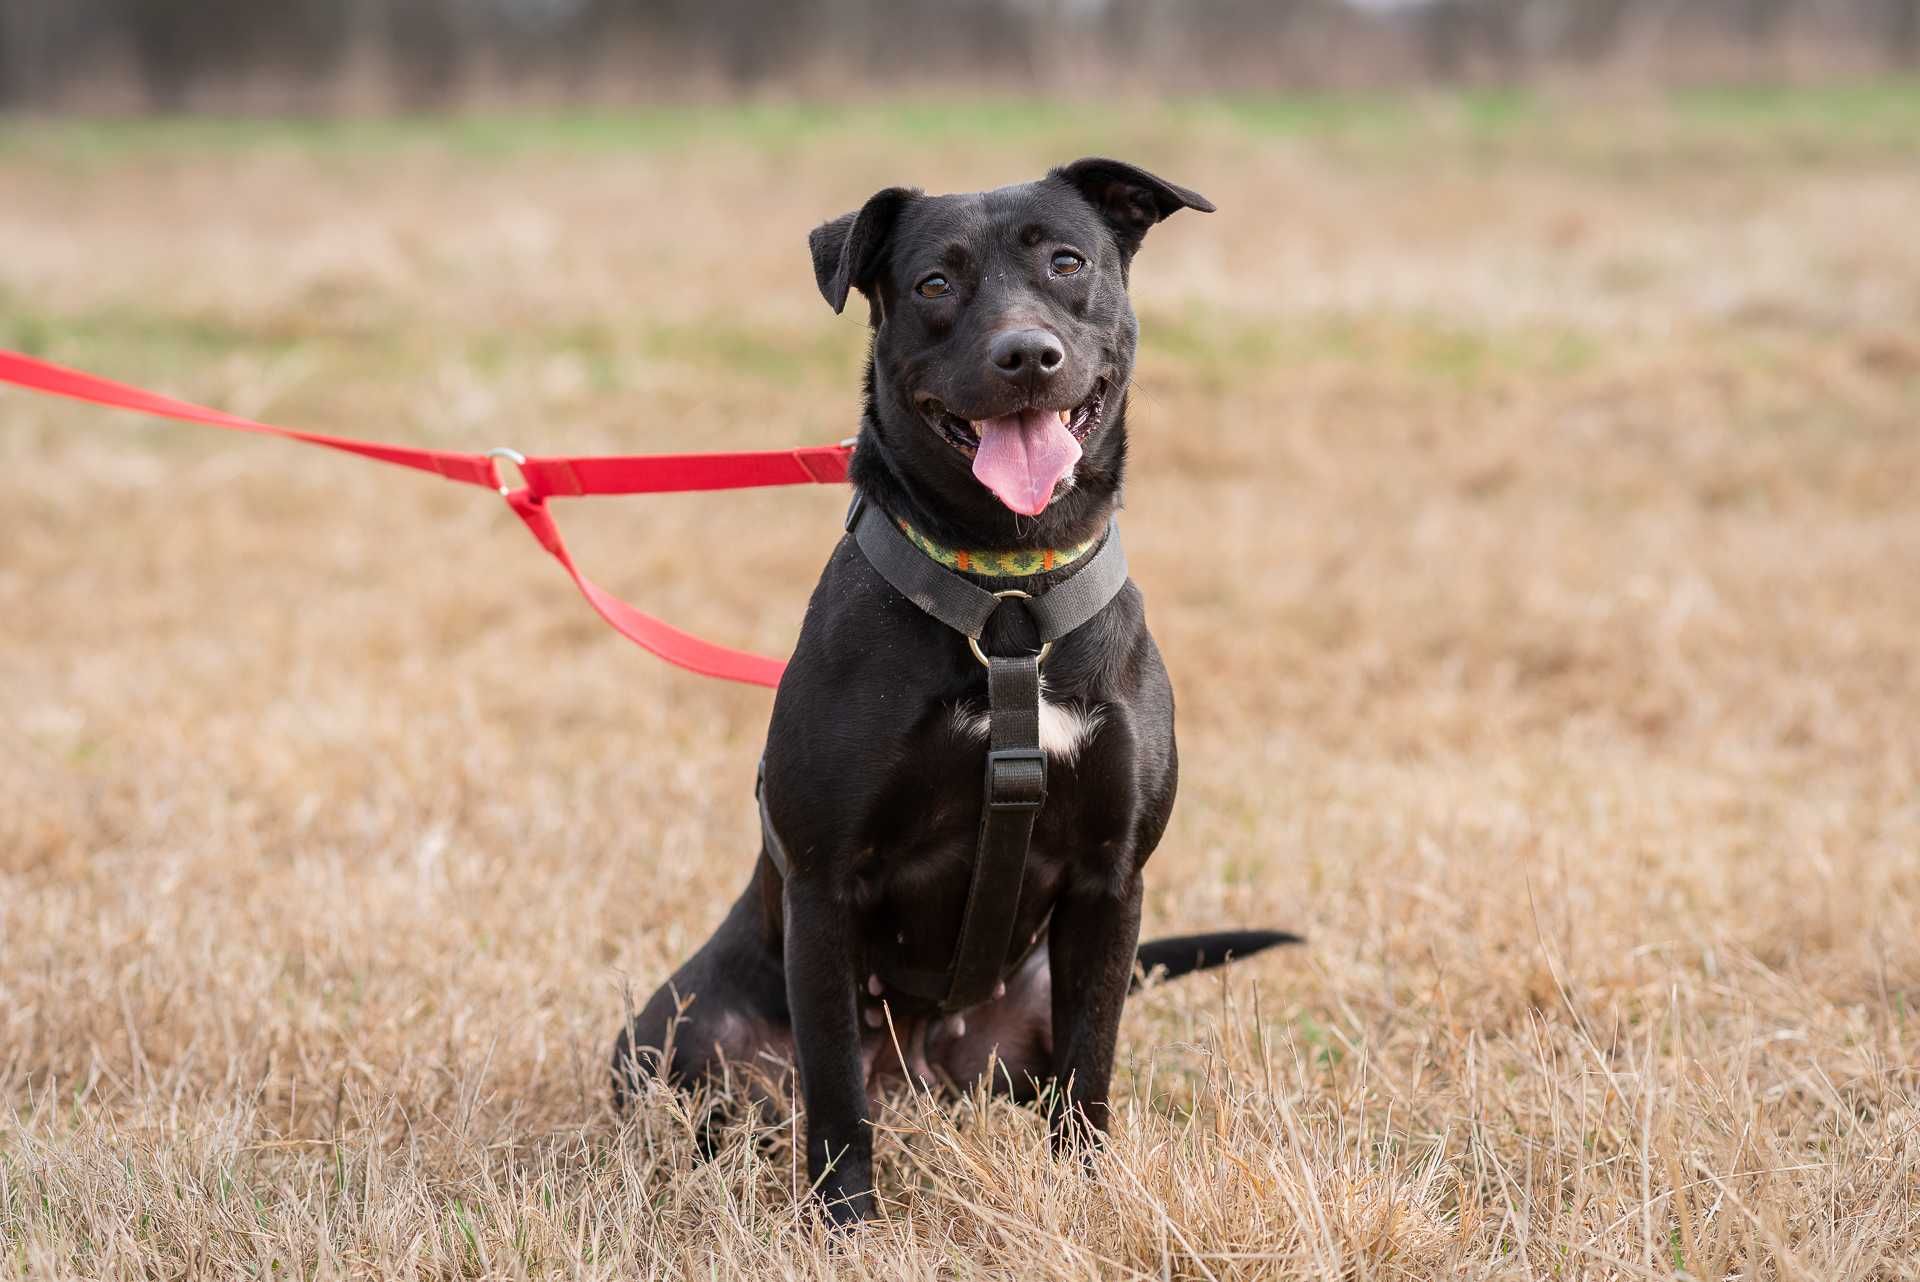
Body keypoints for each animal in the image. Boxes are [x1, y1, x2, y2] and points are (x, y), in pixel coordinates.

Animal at [614, 160, 1297, 1220]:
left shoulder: (1111, 883)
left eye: (1068, 263)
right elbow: (835, 1096)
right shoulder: (824, 888)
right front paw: (845, 1225)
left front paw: (1088, 1201)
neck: (1009, 594)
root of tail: (922, 1081)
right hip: (673, 1035)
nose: (1026, 356)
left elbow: (1091, 1072)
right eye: (935, 283)